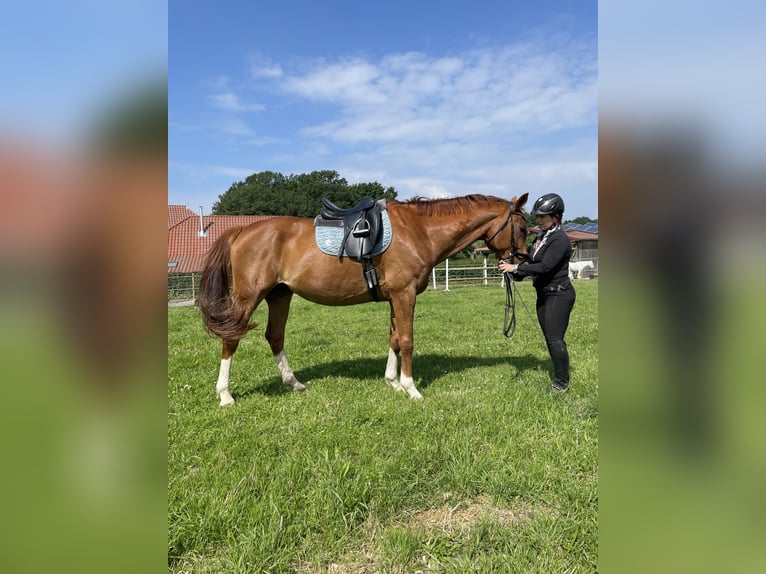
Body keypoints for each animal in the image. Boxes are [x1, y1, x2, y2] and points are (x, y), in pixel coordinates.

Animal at [196, 196, 528, 408]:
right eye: (523, 228)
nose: (522, 262)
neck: (420, 230)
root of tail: (242, 231)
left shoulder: (396, 297)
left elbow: (394, 338)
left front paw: (393, 382)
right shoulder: (404, 293)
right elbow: (407, 340)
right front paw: (411, 388)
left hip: (280, 295)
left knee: (274, 336)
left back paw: (294, 384)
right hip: (249, 297)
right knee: (231, 339)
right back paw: (225, 395)